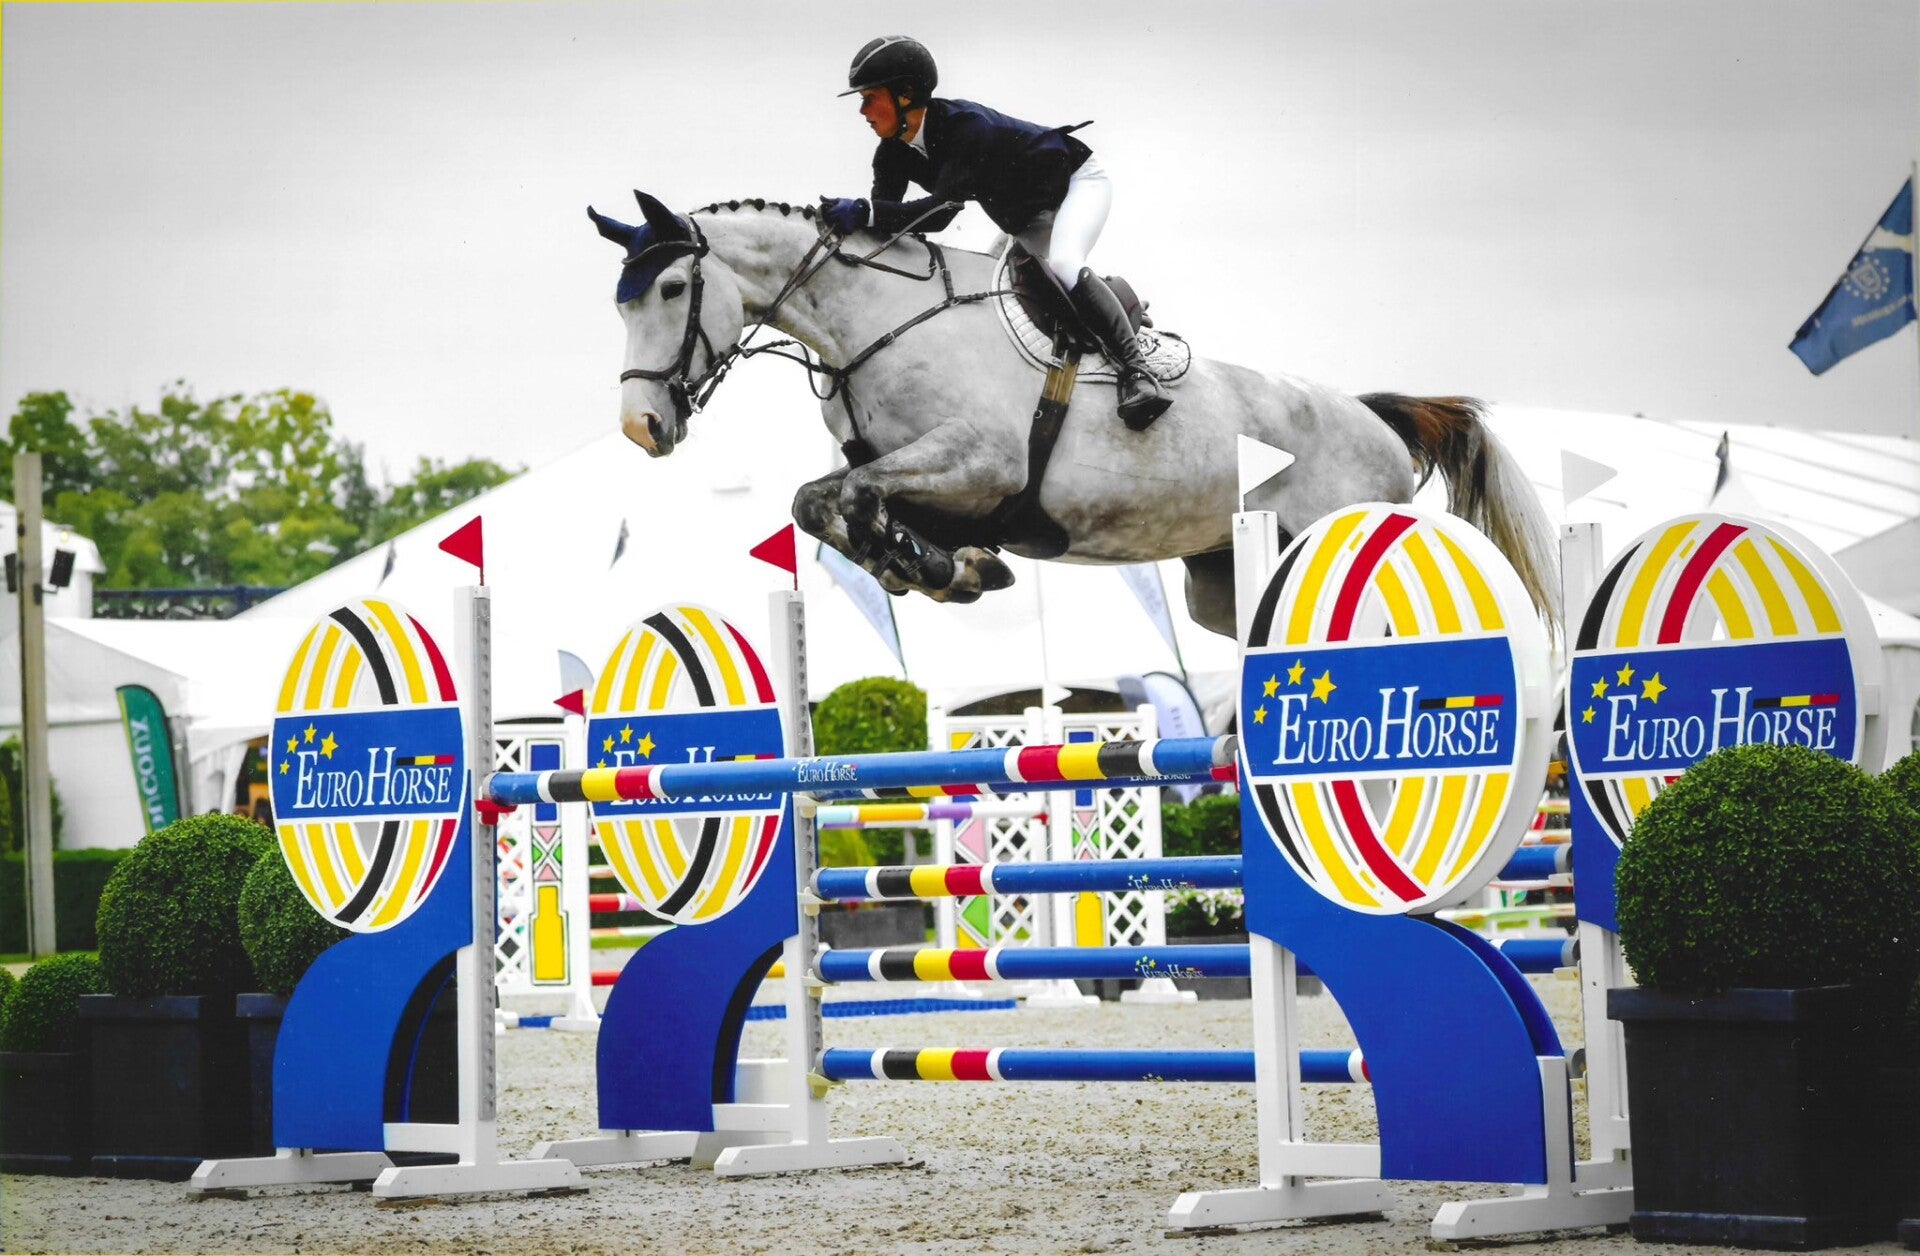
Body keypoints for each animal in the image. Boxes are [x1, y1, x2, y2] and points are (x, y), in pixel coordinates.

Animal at [589, 191, 1557, 639]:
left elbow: (832, 498)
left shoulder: (982, 463)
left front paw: (932, 566)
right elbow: (831, 503)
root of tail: (1371, 416)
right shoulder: (918, 478)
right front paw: (947, 568)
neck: (872, 323)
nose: (643, 428)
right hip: (1222, 582)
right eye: (619, 301)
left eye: (670, 290)